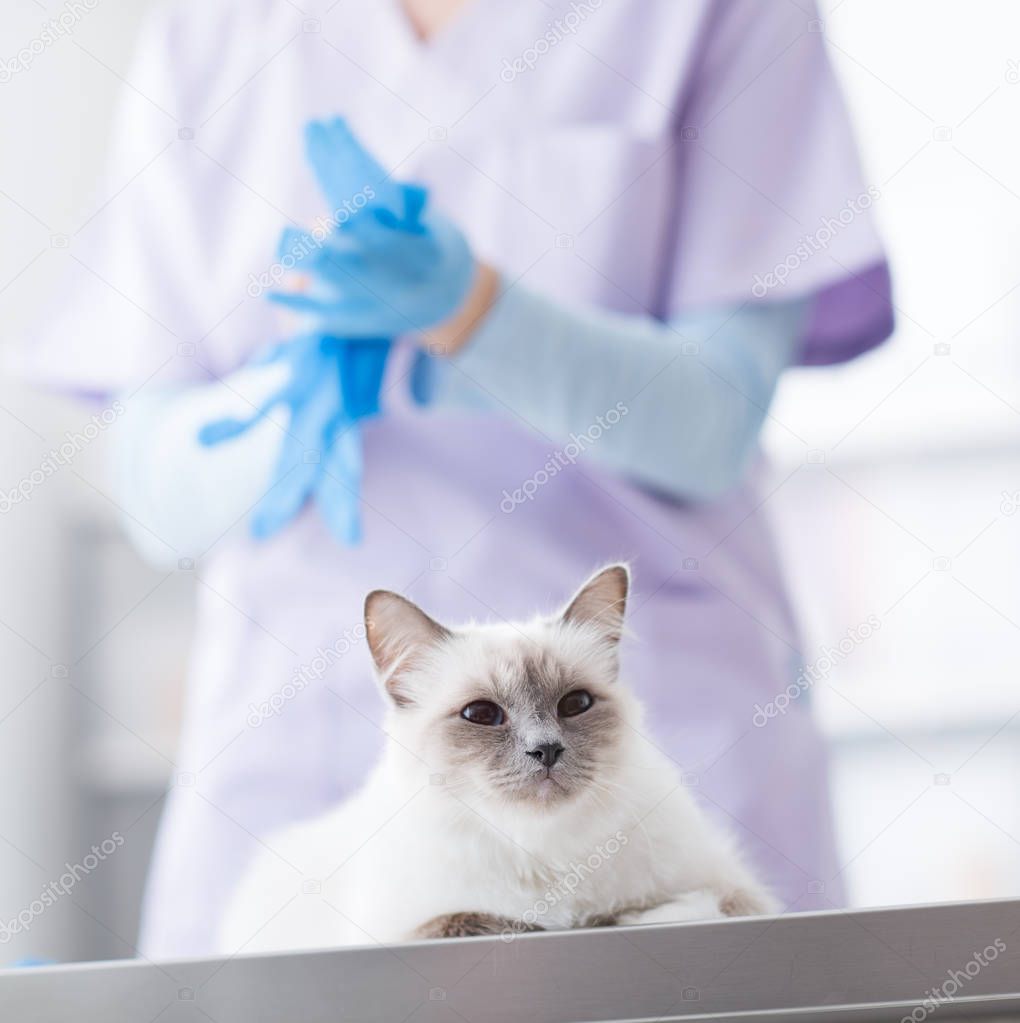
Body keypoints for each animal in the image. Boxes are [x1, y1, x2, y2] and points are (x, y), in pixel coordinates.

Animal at [214, 564, 773, 953]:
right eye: (481, 714)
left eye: (575, 704)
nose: (545, 749)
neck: (543, 853)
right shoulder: (415, 929)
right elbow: (495, 922)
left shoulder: (743, 895)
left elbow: (694, 905)